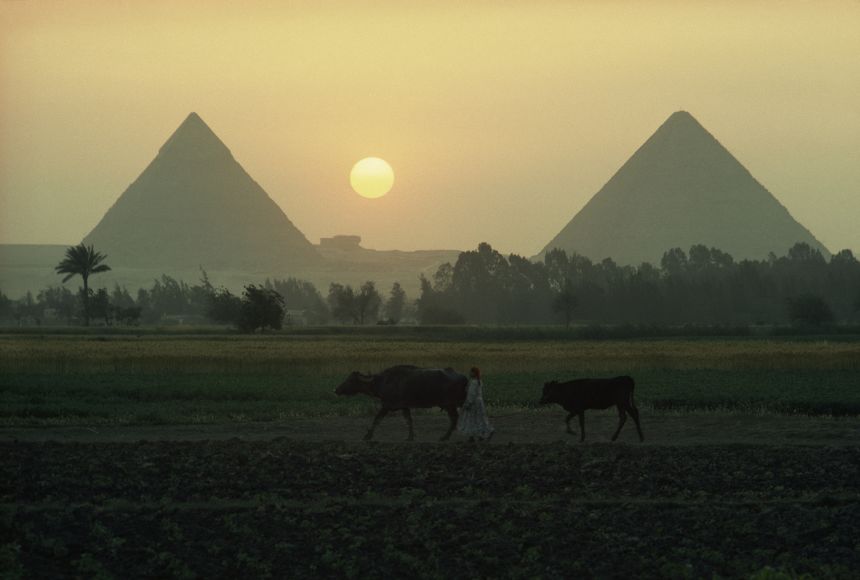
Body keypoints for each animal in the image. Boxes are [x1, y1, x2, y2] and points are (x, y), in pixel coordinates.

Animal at [336, 364, 470, 442]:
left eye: (351, 380)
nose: (336, 390)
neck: (383, 381)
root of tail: (464, 378)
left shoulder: (386, 406)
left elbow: (377, 419)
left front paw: (368, 436)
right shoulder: (404, 406)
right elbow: (408, 420)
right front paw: (410, 437)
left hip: (451, 404)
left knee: (455, 419)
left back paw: (446, 437)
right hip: (452, 405)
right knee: (455, 419)